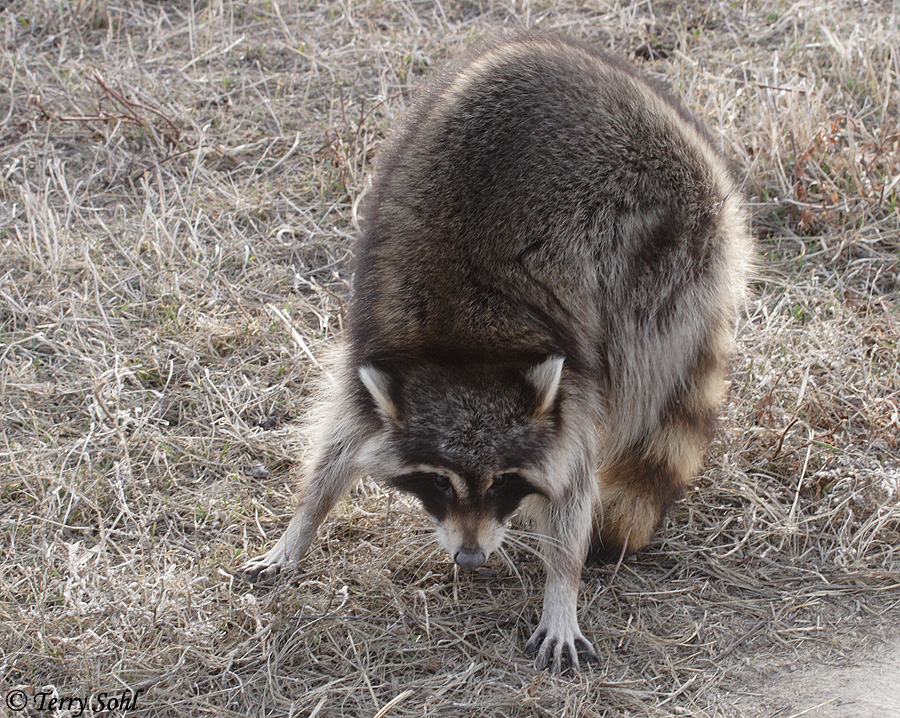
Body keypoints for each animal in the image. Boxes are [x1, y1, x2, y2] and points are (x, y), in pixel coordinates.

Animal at [239, 32, 752, 672]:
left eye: (505, 482)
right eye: (437, 484)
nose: (470, 558)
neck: (467, 355)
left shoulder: (572, 383)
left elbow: (572, 482)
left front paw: (563, 582)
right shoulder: (378, 345)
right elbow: (338, 445)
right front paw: (302, 525)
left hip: (668, 254)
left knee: (643, 366)